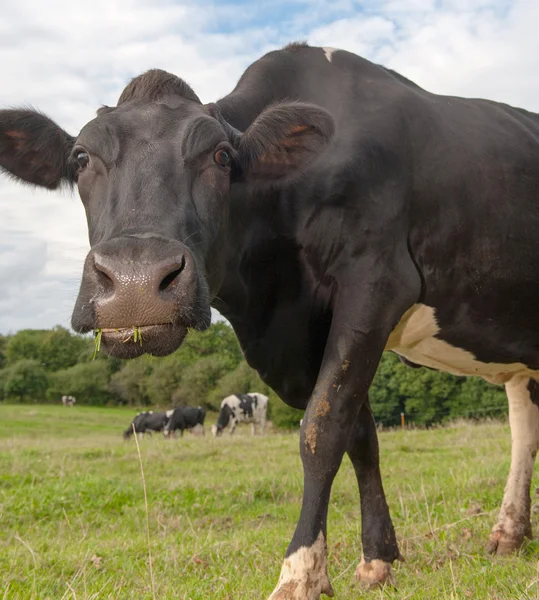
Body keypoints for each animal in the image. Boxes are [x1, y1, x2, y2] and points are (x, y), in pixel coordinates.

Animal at [1, 41, 539, 596]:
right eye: (81, 157)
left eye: (220, 156)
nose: (136, 284)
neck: (272, 299)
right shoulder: (299, 334)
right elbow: (360, 437)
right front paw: (377, 557)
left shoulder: (377, 282)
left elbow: (322, 430)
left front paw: (302, 571)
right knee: (524, 425)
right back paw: (509, 533)